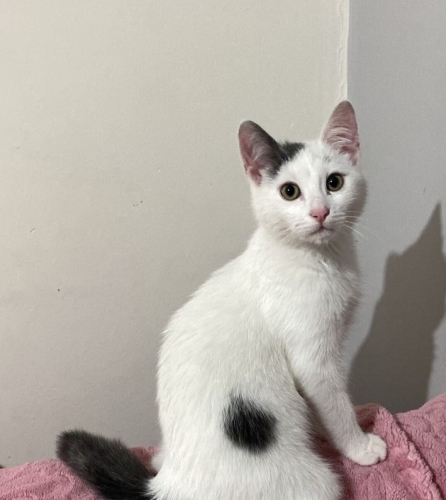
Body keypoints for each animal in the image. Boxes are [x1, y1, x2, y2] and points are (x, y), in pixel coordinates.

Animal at [57, 101, 387, 500]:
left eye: (334, 182)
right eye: (289, 192)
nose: (320, 213)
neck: (321, 259)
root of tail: (167, 485)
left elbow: (322, 406)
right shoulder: (313, 358)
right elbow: (335, 403)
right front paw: (359, 446)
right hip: (315, 483)